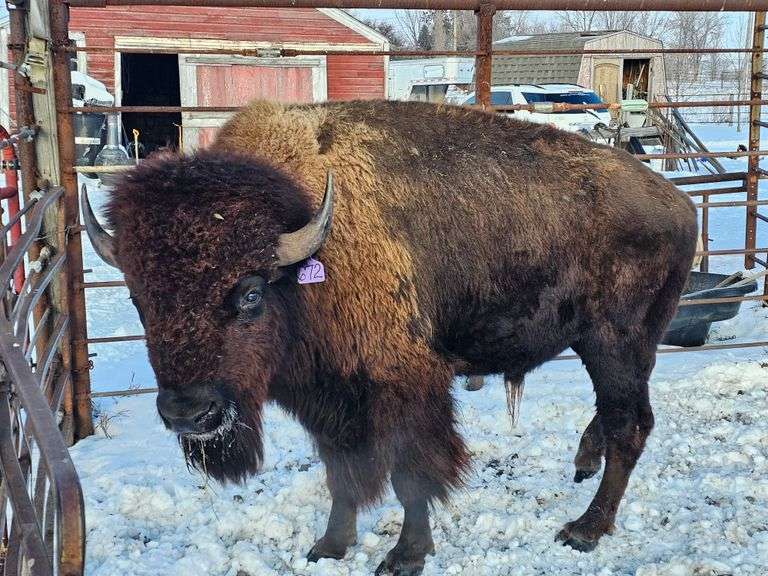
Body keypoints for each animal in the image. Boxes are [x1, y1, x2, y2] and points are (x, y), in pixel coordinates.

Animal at [82, 100, 698, 576]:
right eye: (139, 298)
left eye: (251, 293)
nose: (189, 413)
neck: (311, 245)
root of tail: (680, 202)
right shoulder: (329, 398)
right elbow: (341, 474)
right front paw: (329, 546)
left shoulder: (405, 387)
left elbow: (410, 475)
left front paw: (405, 556)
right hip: (617, 349)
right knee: (620, 418)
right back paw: (583, 464)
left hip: (614, 344)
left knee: (629, 426)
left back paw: (585, 529)